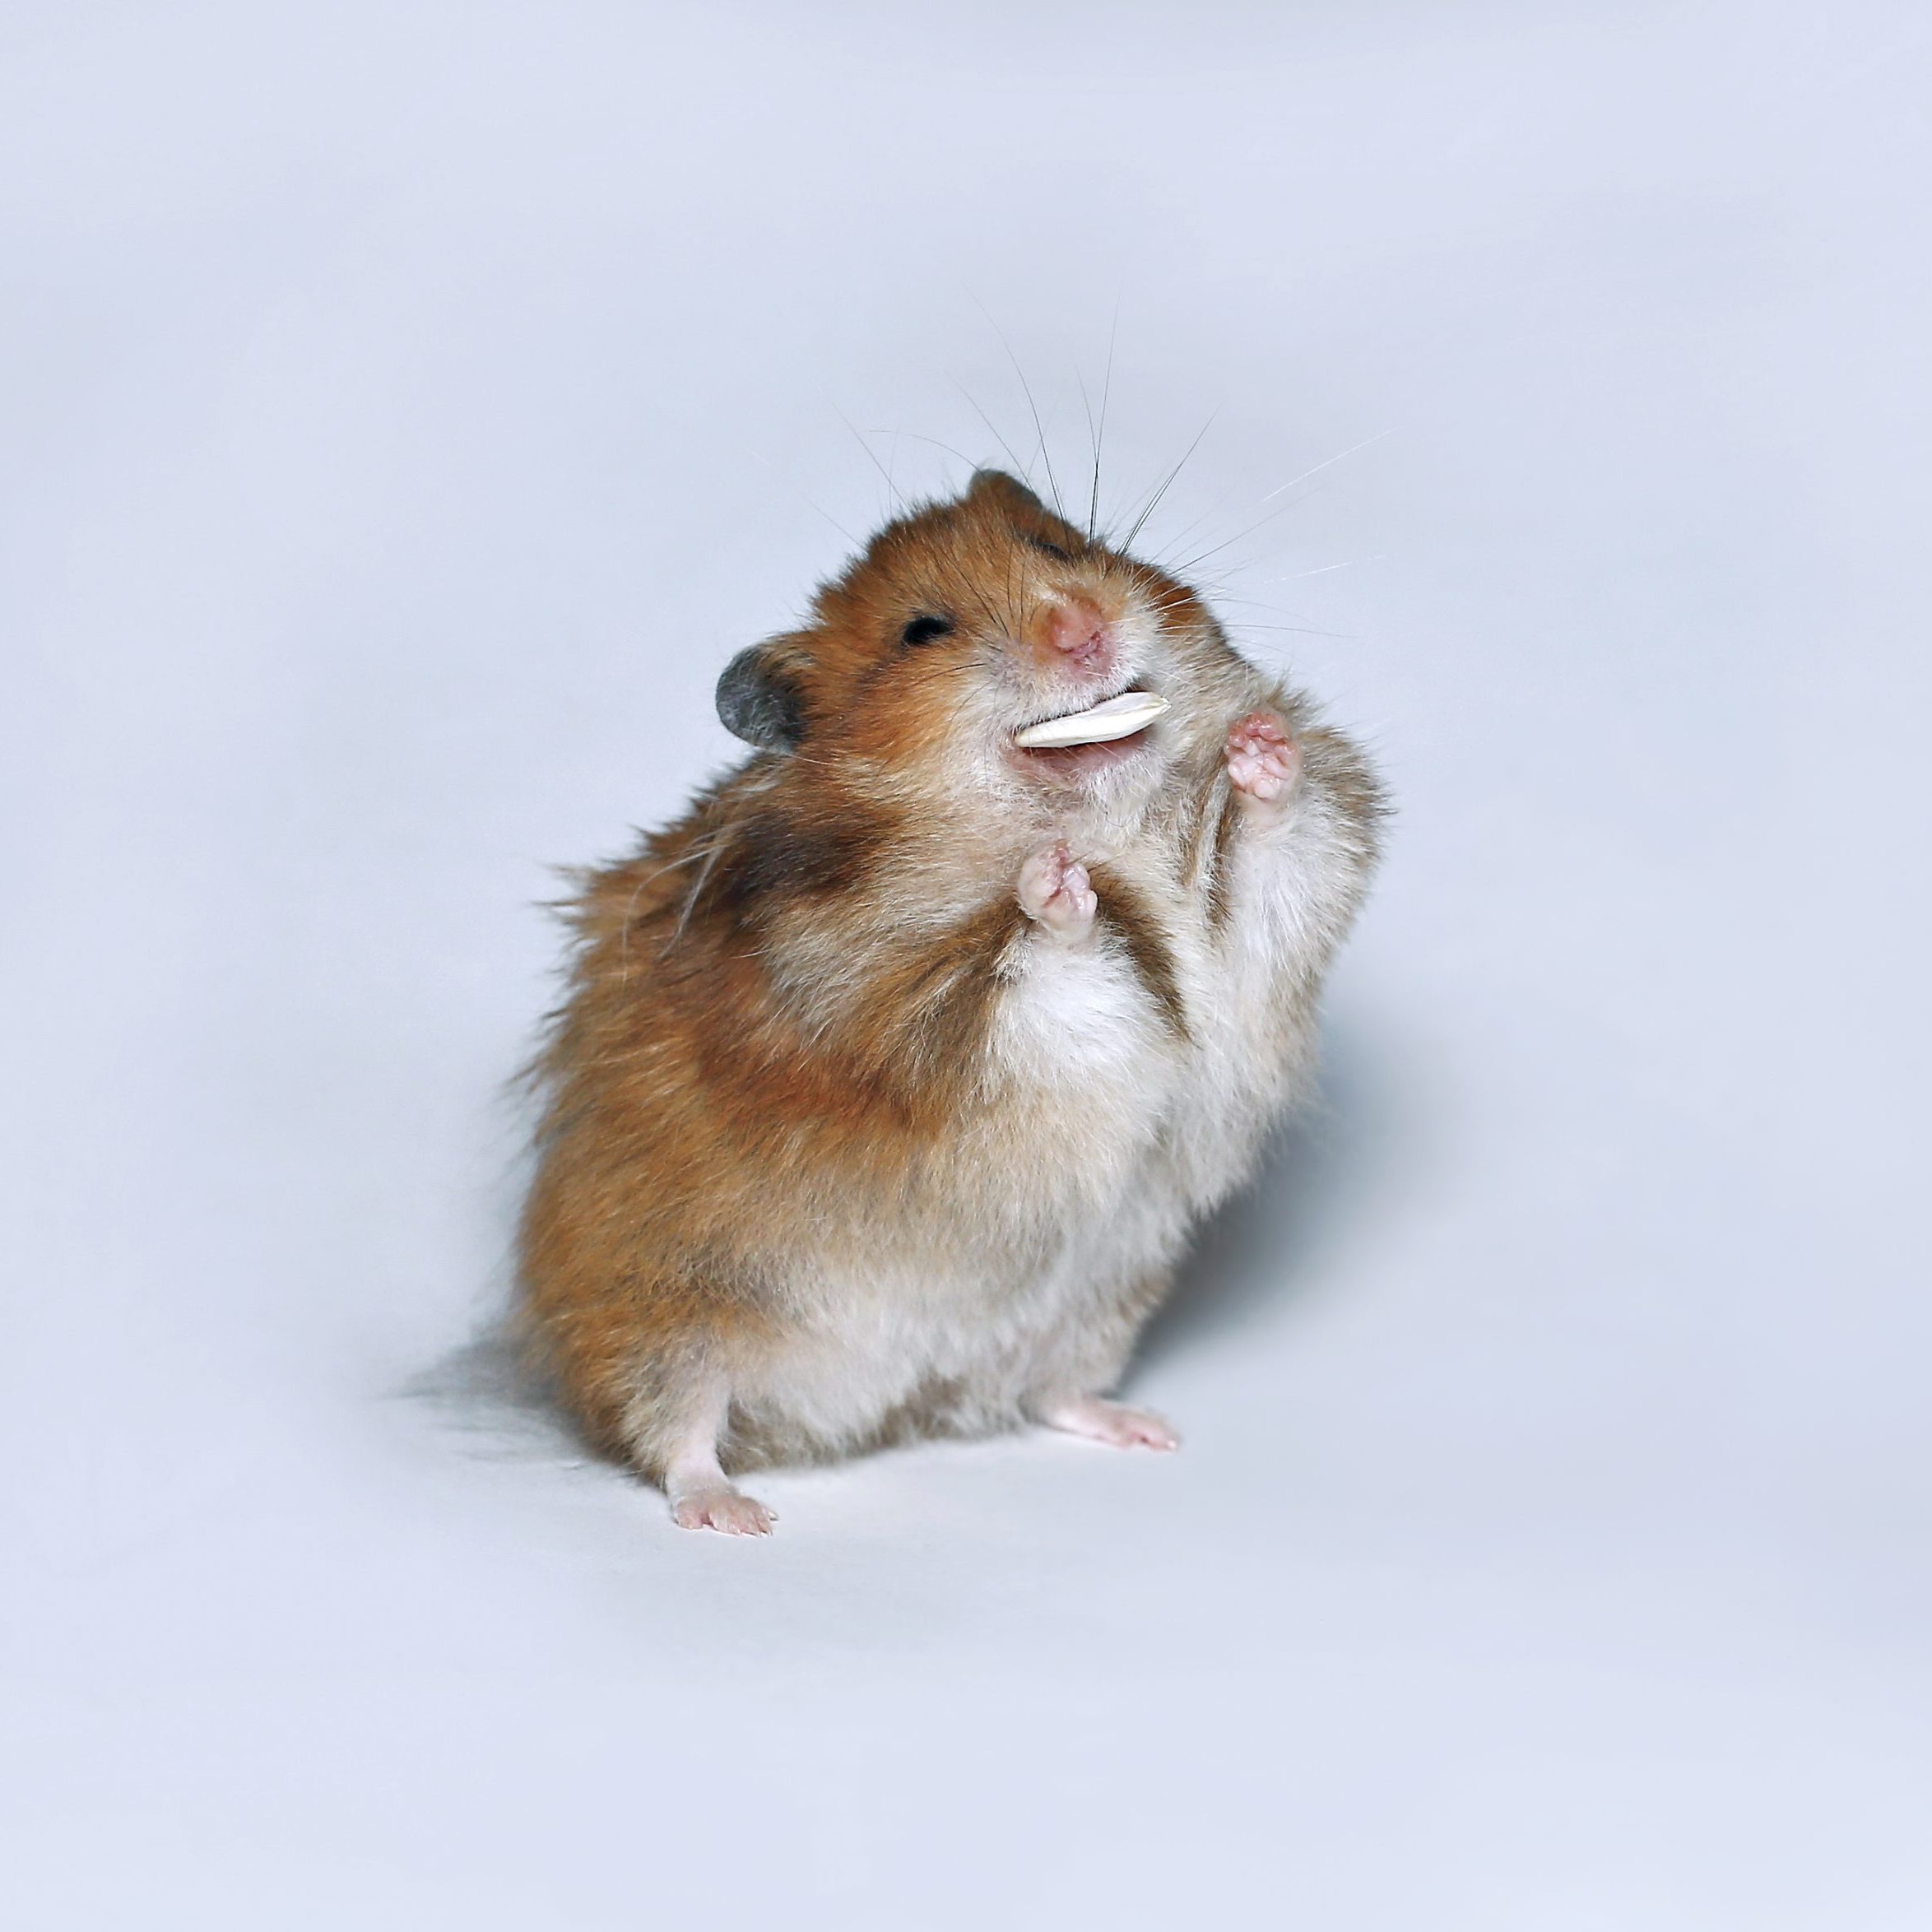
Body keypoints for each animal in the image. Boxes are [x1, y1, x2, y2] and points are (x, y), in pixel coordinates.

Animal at [517, 468, 1384, 1533]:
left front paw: (1258, 747)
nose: (1081, 628)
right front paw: (1055, 880)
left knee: (1048, 1393)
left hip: (1094, 1307)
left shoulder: (1251, 937)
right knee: (673, 1432)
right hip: (662, 1316)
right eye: (922, 630)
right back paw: (734, 1513)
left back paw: (1143, 1429)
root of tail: (881, 1412)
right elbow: (1034, 962)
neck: (1094, 806)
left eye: (1059, 548)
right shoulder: (915, 1017)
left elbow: (1272, 848)